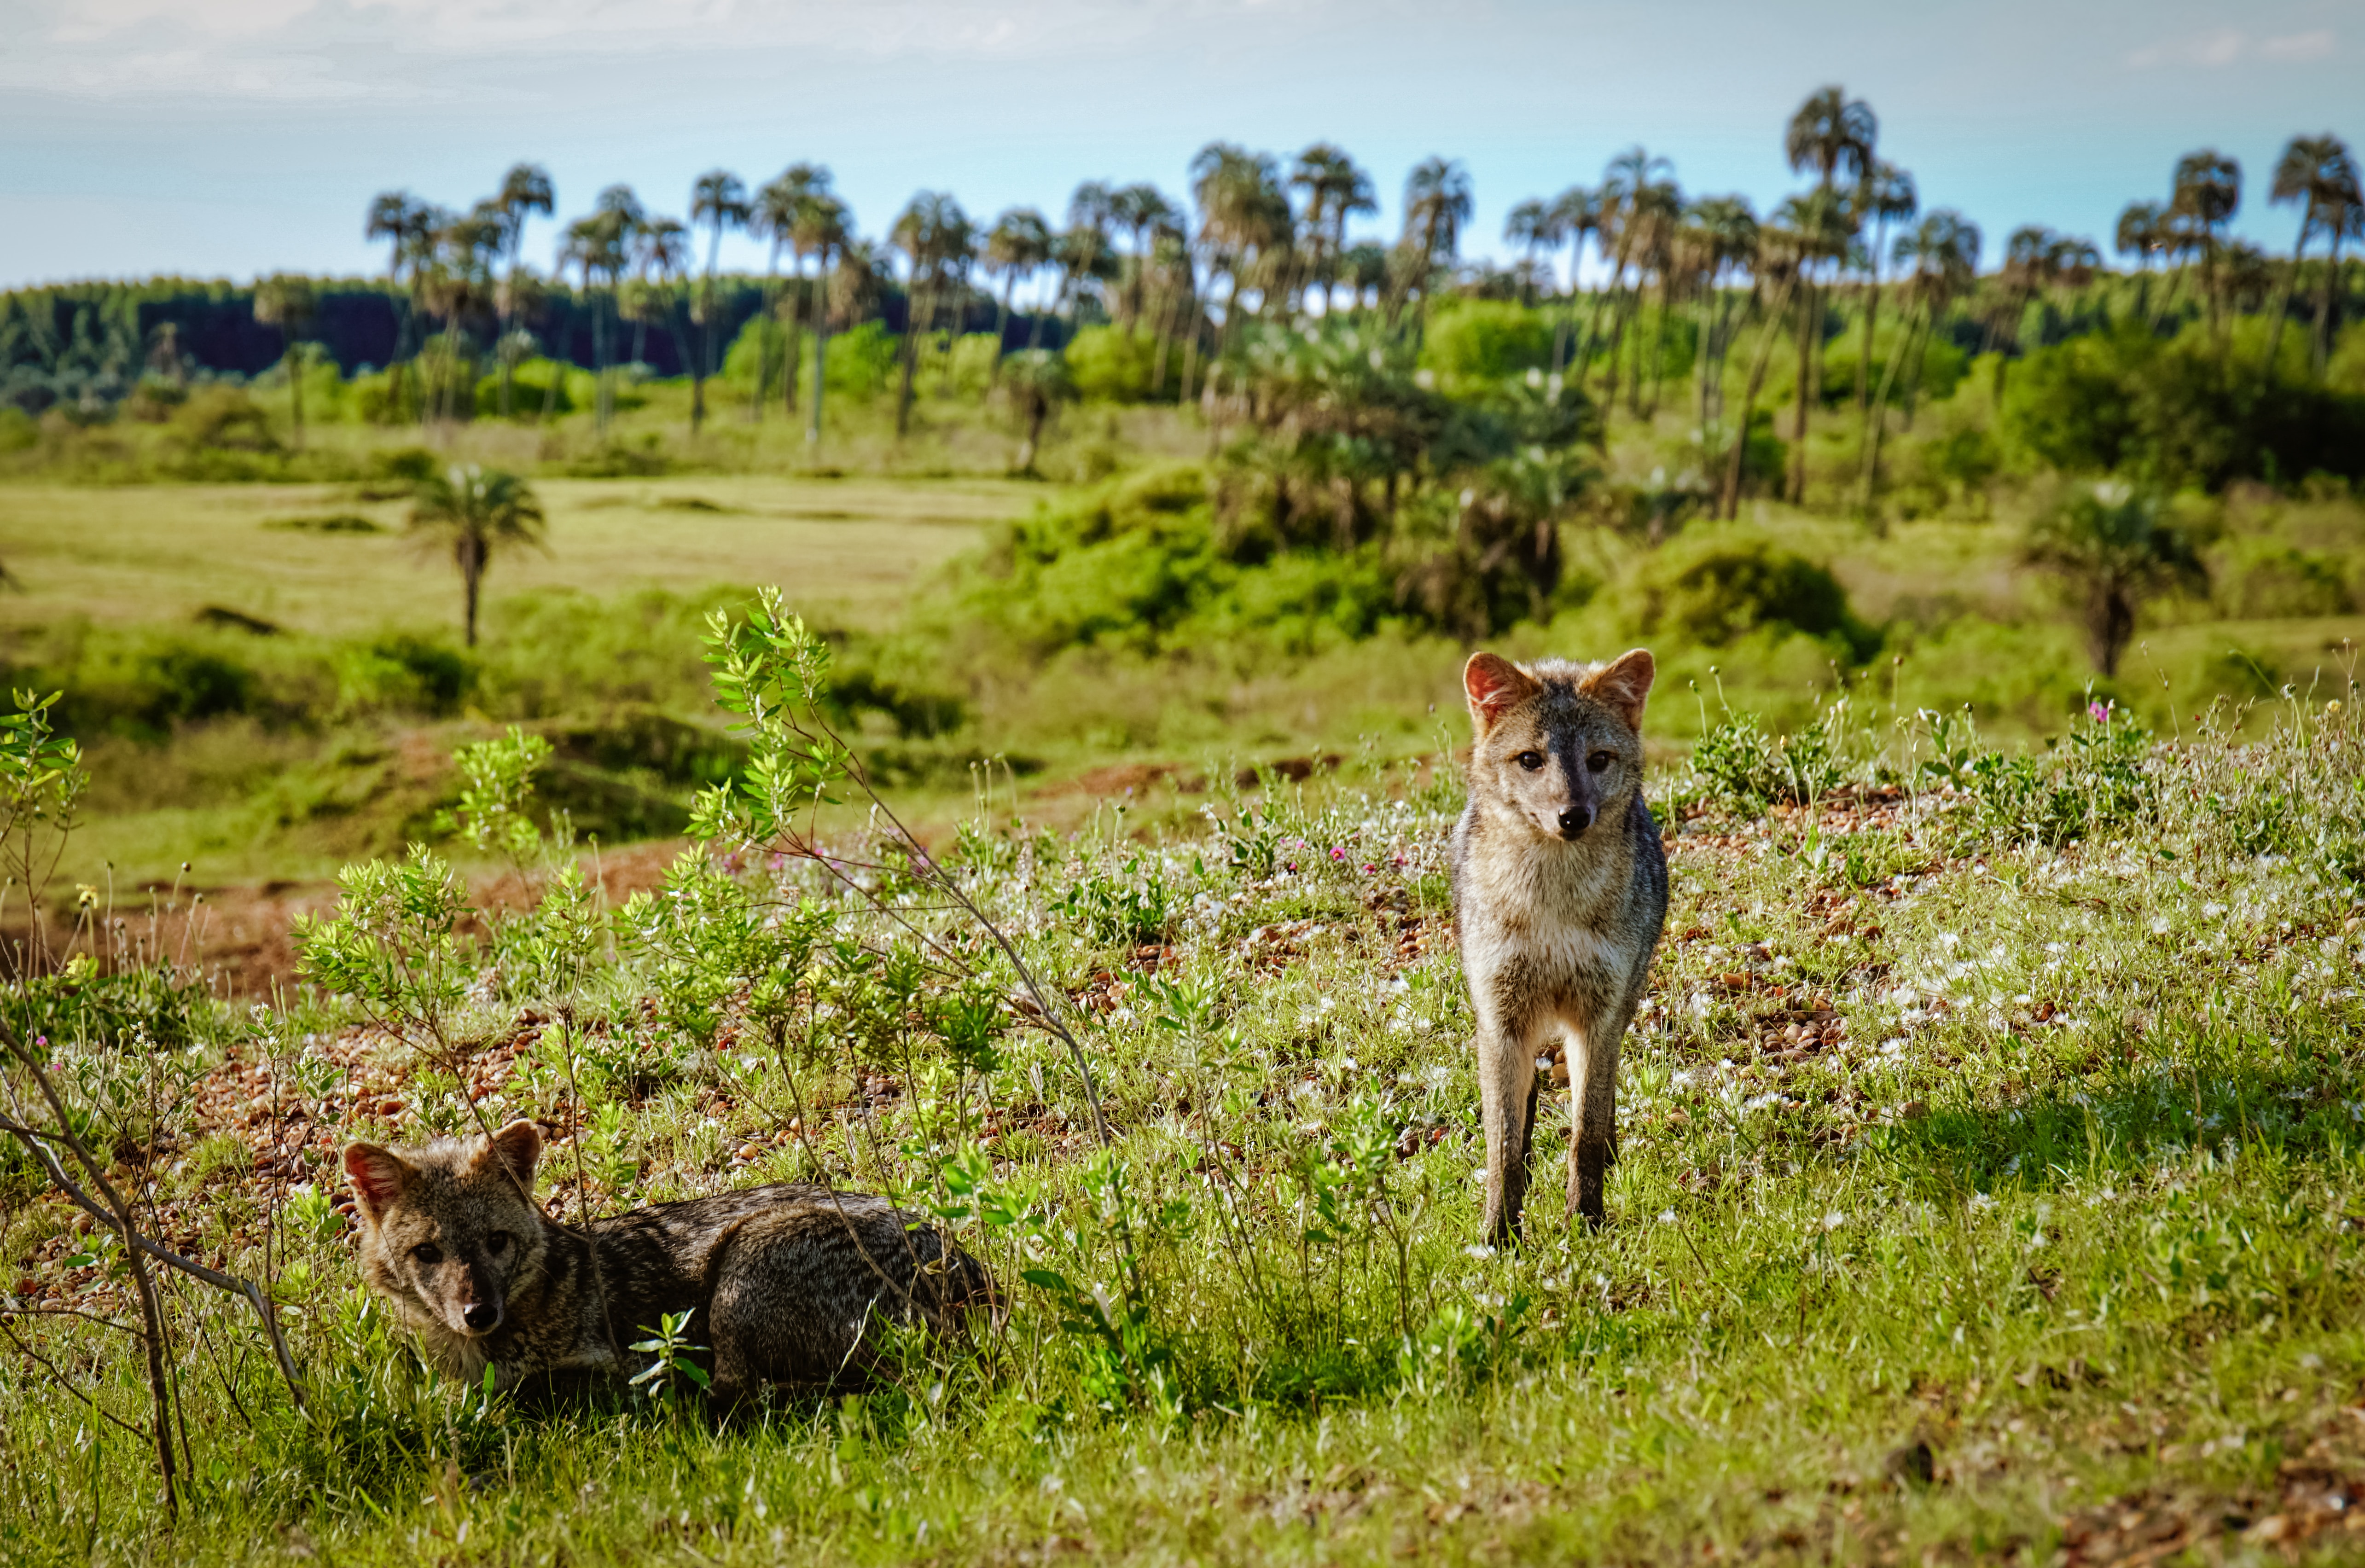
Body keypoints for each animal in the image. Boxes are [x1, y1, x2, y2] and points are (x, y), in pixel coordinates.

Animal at [343, 1121, 988, 1400]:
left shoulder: (618, 1365)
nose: (479, 1312)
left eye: (496, 1242)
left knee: (743, 1389)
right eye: (429, 1253)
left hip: (740, 1272)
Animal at [1447, 643, 1674, 1249]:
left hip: (1620, 1006)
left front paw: (1586, 1222)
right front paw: (1499, 1235)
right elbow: (1502, 1145)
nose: (1572, 816)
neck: (1552, 906)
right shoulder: (1500, 1019)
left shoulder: (1597, 1019)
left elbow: (1585, 1135)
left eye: (1597, 760)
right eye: (1531, 760)